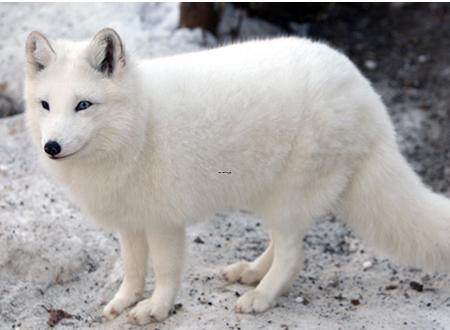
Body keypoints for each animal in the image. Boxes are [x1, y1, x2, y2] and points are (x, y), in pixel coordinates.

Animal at [25, 27, 450, 324]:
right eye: (45, 105)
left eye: (83, 105)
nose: (52, 147)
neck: (139, 127)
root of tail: (368, 97)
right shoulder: (130, 221)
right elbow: (132, 269)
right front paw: (123, 301)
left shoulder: (164, 221)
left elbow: (164, 272)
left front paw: (155, 309)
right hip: (274, 197)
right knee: (284, 244)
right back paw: (251, 273)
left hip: (289, 197)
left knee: (295, 255)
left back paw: (260, 297)